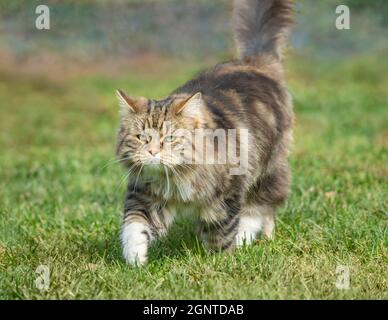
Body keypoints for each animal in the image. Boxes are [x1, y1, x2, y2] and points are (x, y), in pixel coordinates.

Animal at [115, 0, 294, 264]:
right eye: (141, 138)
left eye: (170, 138)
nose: (152, 152)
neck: (176, 178)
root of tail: (253, 62)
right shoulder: (146, 196)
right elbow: (135, 226)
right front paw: (136, 259)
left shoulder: (227, 195)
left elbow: (221, 232)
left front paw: (221, 261)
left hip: (267, 169)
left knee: (262, 209)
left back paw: (252, 239)